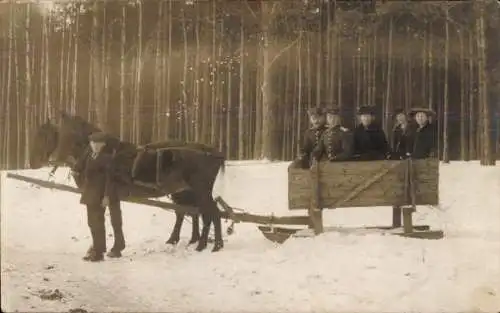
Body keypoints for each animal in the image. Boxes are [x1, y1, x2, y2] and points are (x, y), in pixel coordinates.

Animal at [29, 111, 227, 251]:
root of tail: (213, 152)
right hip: (183, 191)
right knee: (193, 212)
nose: (32, 162)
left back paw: (211, 245)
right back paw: (191, 241)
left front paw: (115, 249)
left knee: (211, 213)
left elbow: (113, 220)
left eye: (44, 135)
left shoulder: (110, 194)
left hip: (200, 190)